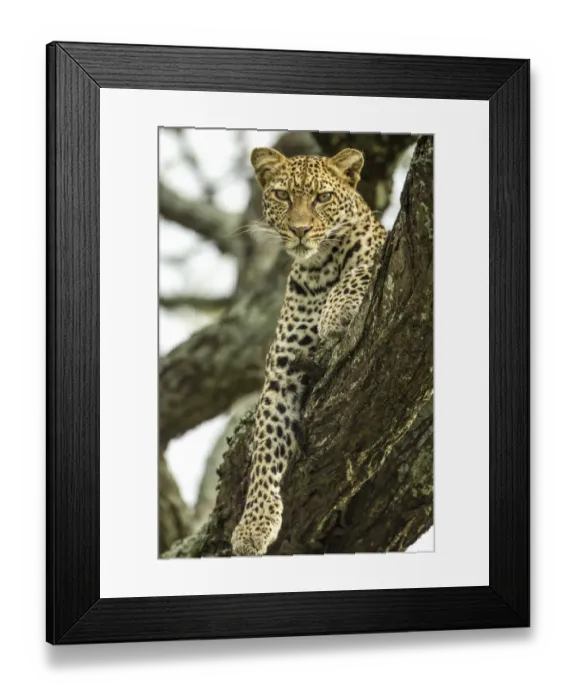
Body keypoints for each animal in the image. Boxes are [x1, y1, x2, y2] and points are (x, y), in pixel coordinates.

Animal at [230, 145, 387, 556]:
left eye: (323, 197)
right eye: (283, 195)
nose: (300, 230)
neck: (319, 270)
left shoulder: (381, 247)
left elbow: (367, 263)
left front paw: (336, 312)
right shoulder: (282, 374)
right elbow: (266, 446)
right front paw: (254, 525)